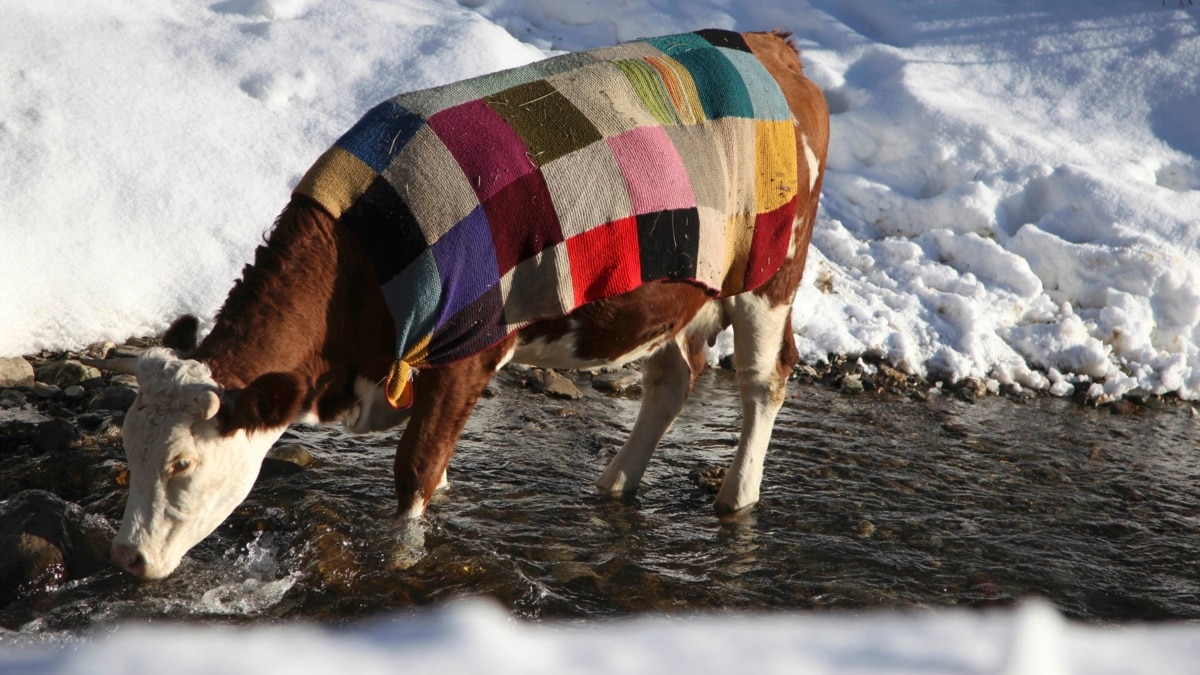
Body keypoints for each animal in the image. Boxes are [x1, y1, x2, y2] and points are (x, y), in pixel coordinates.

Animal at [105, 30, 825, 578]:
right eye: (129, 446)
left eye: (182, 462)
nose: (128, 557)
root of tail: (769, 44)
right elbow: (436, 471)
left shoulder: (472, 348)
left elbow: (415, 470)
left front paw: (402, 559)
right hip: (681, 294)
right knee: (674, 376)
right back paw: (616, 482)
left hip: (770, 272)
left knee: (764, 379)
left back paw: (736, 496)